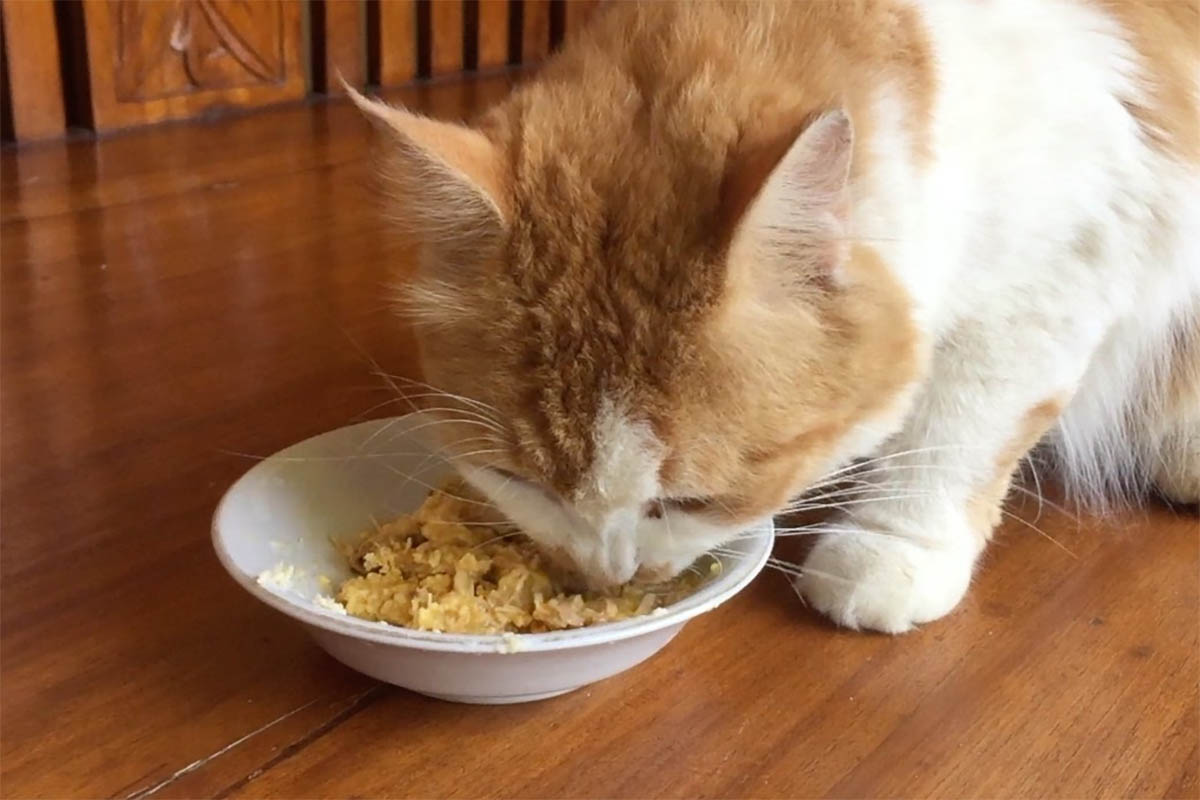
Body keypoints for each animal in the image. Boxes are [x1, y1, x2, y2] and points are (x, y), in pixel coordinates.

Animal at [345, 1, 1190, 638]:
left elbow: (959, 428)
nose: (609, 573)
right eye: (516, 480)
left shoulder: (1069, 258)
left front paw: (890, 550)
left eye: (694, 502)